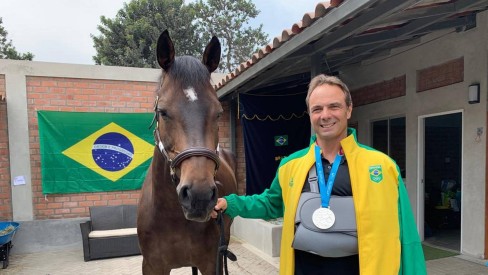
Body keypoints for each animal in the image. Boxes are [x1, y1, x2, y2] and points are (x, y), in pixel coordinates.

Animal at [136, 30, 237, 275]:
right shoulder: (151, 266)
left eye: (218, 113)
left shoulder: (211, 262)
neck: (171, 215)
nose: (199, 196)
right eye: (163, 112)